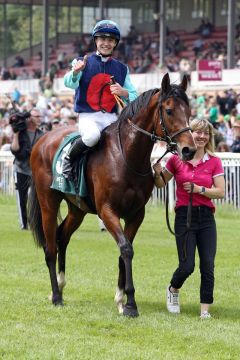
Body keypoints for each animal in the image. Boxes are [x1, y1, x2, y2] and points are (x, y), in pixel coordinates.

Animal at [28, 74, 197, 318]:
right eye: (169, 110)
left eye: (189, 110)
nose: (188, 150)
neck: (126, 156)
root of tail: (43, 139)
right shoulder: (108, 211)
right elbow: (126, 248)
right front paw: (130, 304)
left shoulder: (136, 214)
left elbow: (123, 252)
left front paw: (121, 299)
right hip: (48, 203)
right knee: (50, 247)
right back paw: (57, 296)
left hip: (77, 210)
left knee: (62, 237)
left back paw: (59, 286)